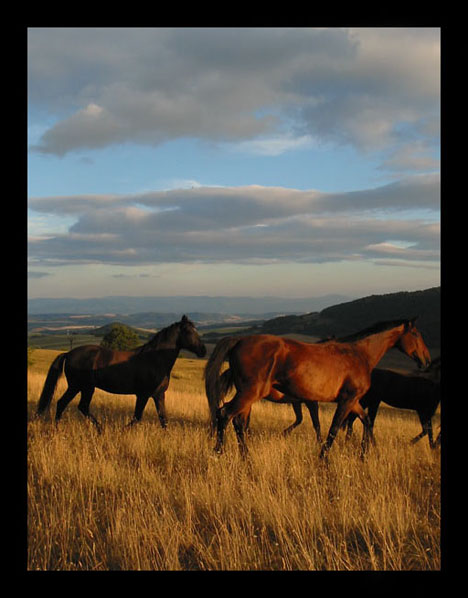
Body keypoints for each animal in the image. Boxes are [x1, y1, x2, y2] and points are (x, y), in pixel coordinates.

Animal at [35, 316, 206, 434]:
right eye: (189, 331)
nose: (203, 351)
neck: (154, 359)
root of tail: (68, 353)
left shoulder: (159, 395)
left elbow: (163, 419)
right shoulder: (143, 394)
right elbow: (137, 417)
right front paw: (121, 432)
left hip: (80, 387)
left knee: (66, 404)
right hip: (83, 387)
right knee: (76, 405)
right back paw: (98, 429)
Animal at [205, 318, 432, 460]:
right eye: (415, 334)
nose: (426, 360)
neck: (359, 355)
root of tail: (240, 340)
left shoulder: (352, 401)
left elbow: (366, 421)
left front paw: (370, 453)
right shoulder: (346, 400)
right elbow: (333, 428)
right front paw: (324, 458)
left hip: (248, 396)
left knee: (237, 422)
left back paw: (246, 457)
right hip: (250, 393)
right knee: (225, 414)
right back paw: (219, 453)